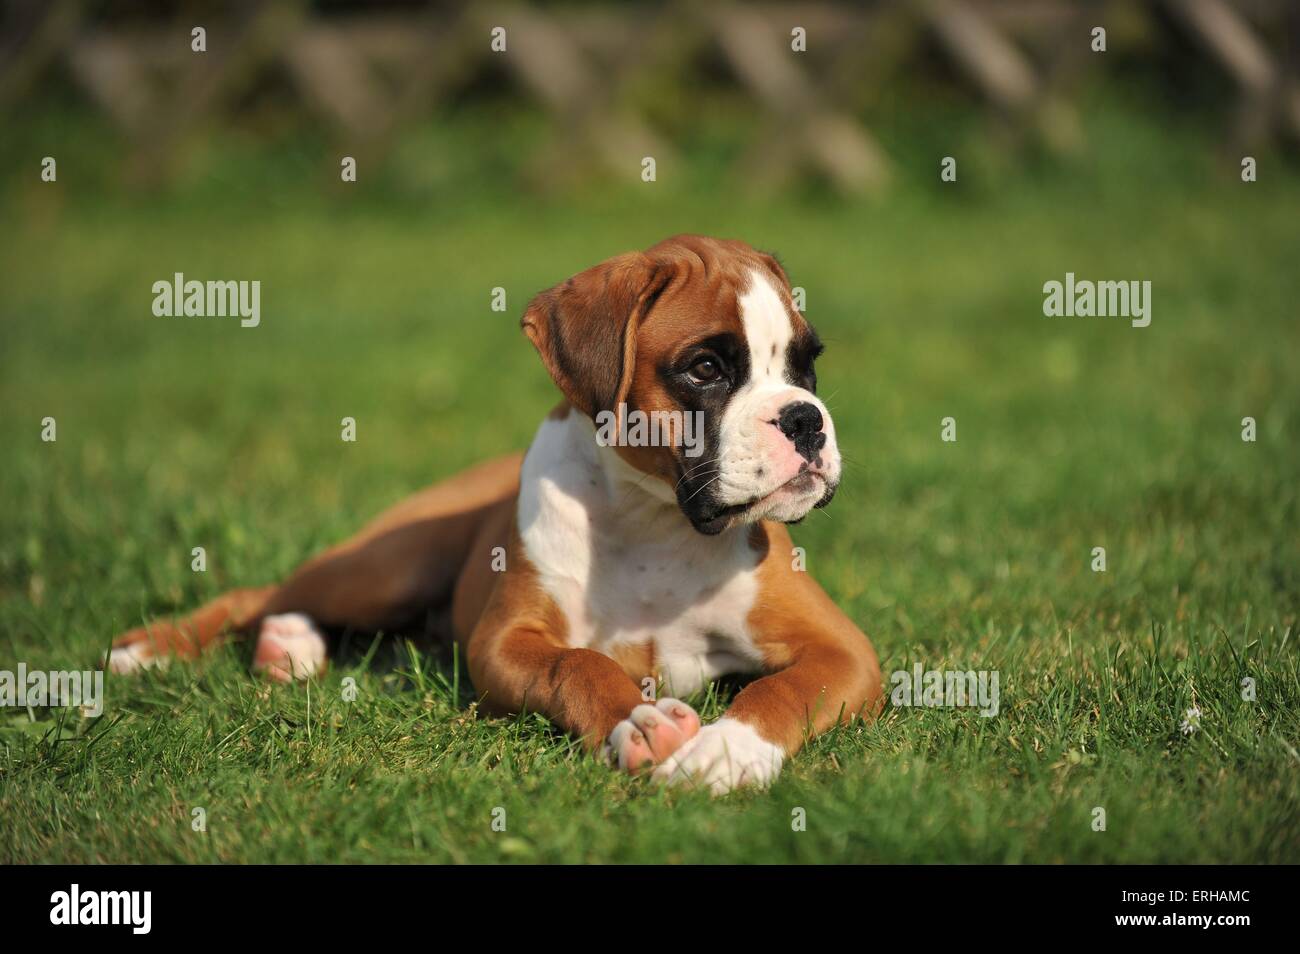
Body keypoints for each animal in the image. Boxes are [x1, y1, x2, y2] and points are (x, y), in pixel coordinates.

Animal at [106, 235, 883, 795]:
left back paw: (287, 648)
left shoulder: (845, 652)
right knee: (258, 594)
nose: (806, 420)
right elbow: (577, 664)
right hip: (387, 565)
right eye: (706, 368)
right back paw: (158, 649)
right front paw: (639, 721)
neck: (653, 518)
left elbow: (782, 690)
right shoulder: (505, 642)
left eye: (807, 364)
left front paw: (725, 749)